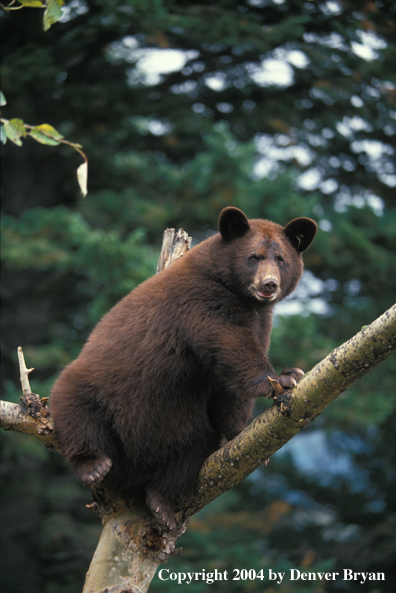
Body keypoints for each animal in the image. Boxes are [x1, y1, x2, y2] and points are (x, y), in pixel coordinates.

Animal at [49, 206, 318, 528]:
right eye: (253, 257)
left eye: (281, 260)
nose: (269, 285)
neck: (237, 293)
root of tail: (130, 472)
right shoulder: (201, 302)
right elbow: (230, 344)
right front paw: (284, 377)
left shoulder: (259, 322)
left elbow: (227, 386)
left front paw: (240, 428)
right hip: (91, 387)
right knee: (77, 415)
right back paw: (93, 465)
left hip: (181, 422)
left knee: (190, 453)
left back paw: (161, 504)